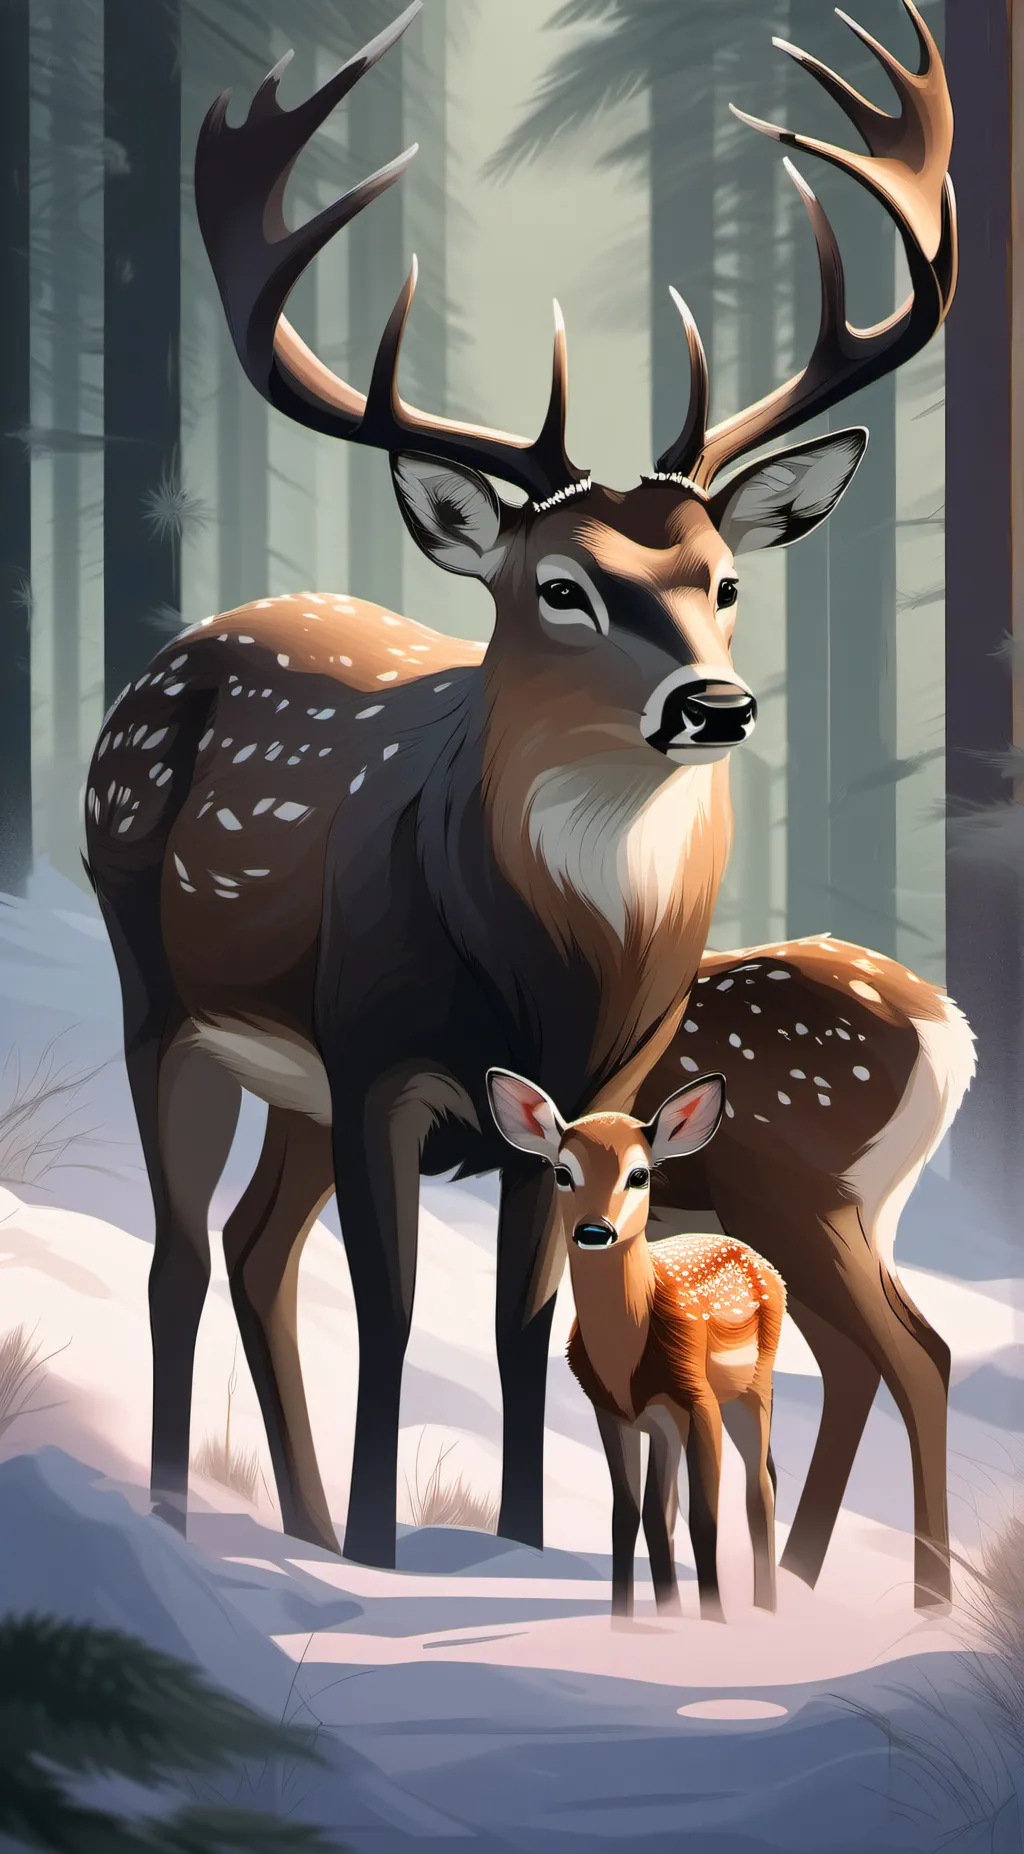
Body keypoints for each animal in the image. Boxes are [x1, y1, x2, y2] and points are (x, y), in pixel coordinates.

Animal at [487, 1067, 786, 1621]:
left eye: (640, 1175)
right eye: (562, 1172)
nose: (593, 1230)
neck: (625, 1361)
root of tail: (757, 1257)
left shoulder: (696, 1401)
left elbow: (704, 1520)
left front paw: (714, 1622)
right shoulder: (614, 1412)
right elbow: (628, 1516)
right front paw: (625, 1624)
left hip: (752, 1388)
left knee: (759, 1491)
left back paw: (765, 1612)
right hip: (673, 1423)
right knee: (666, 1510)